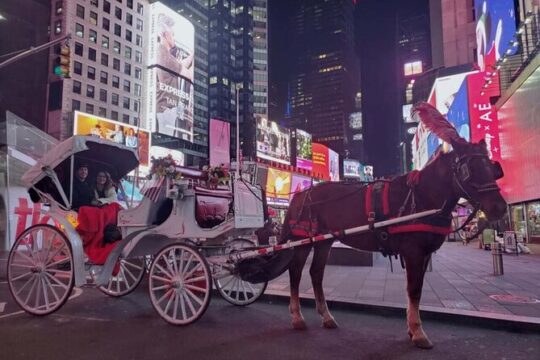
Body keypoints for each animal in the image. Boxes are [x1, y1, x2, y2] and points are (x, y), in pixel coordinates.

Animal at [280, 102, 508, 350]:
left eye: (493, 168)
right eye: (468, 169)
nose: (499, 207)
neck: (422, 196)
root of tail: (300, 193)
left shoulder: (424, 253)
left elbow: (415, 290)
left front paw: (411, 328)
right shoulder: (414, 251)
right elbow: (414, 289)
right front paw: (418, 332)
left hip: (324, 240)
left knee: (316, 273)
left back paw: (327, 316)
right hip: (302, 239)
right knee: (295, 271)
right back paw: (297, 317)